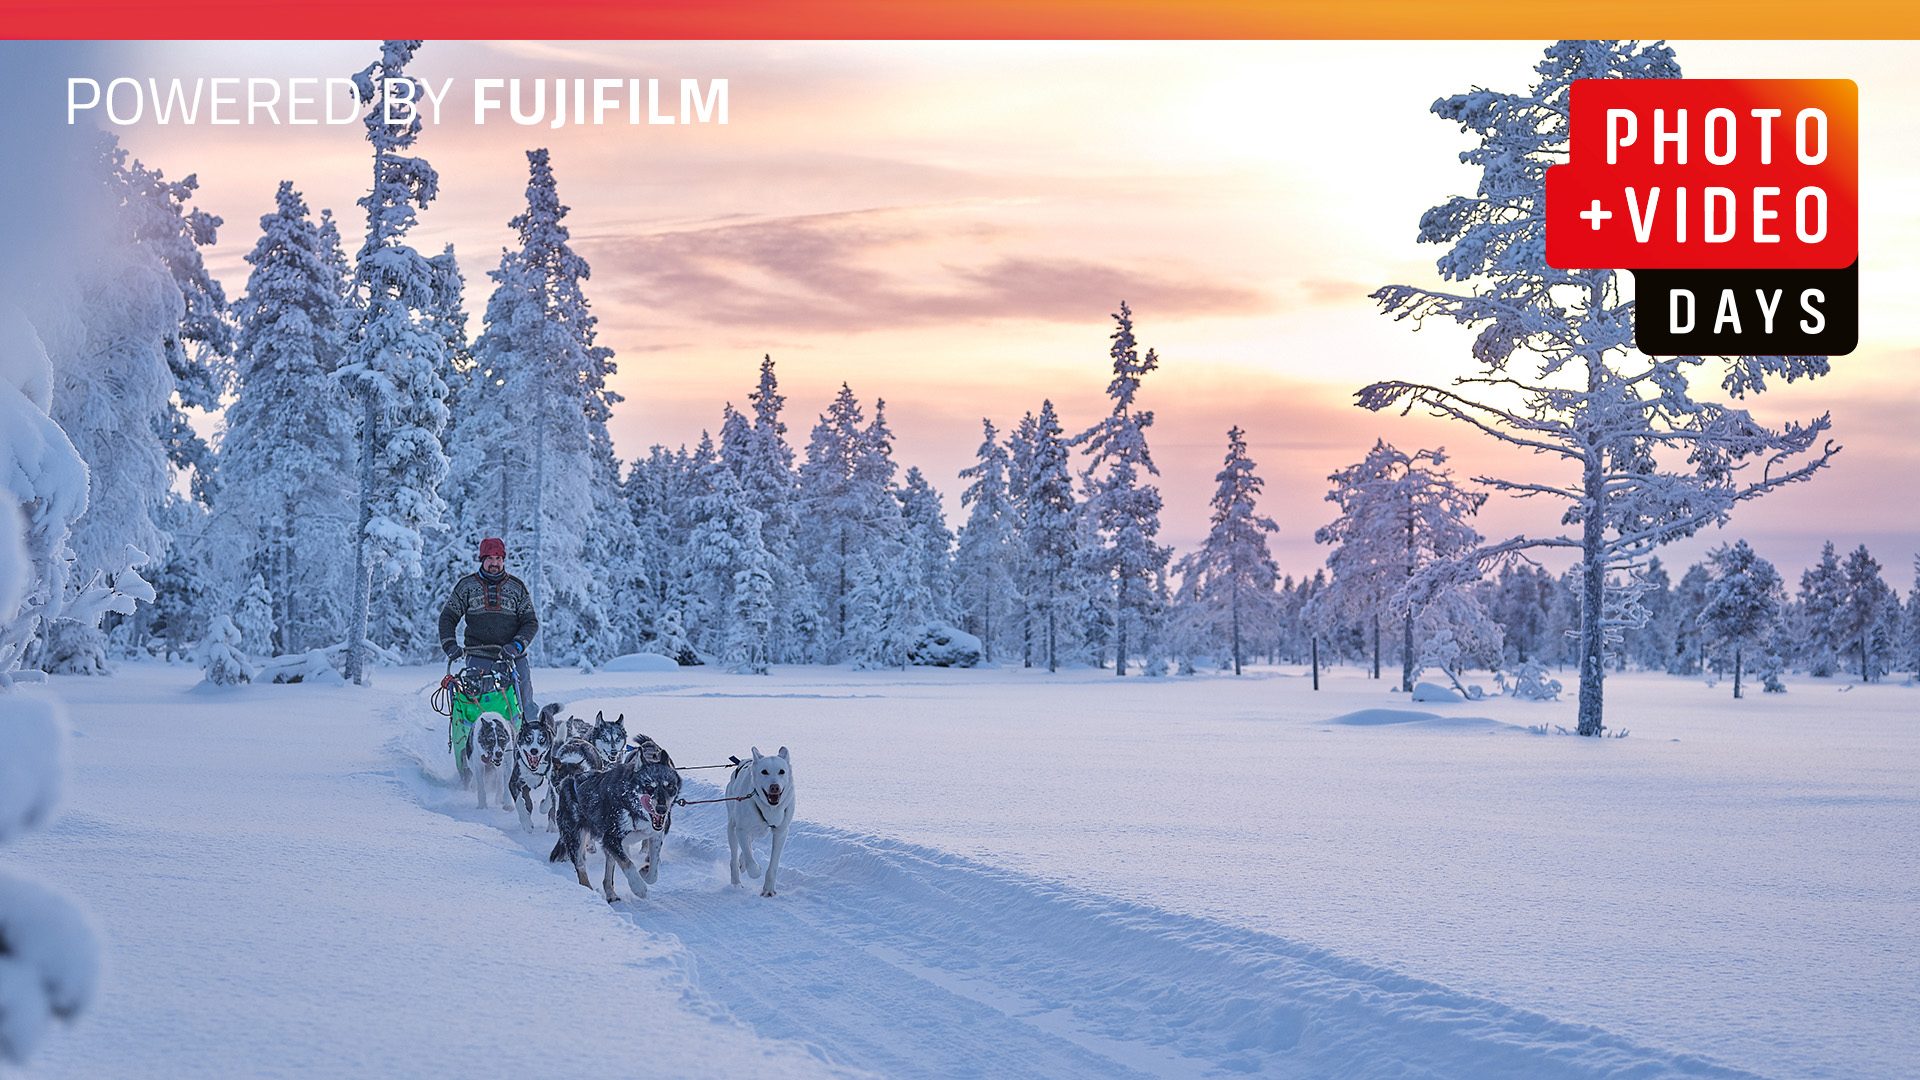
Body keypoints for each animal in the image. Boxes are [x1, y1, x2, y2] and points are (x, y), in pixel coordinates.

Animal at [729, 745, 798, 895]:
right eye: (764, 771)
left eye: (782, 771)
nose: (774, 787)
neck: (770, 809)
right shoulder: (741, 830)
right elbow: (752, 864)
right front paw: (755, 869)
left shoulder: (781, 832)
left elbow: (773, 865)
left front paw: (769, 890)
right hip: (732, 828)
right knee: (734, 858)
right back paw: (736, 882)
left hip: (757, 830)